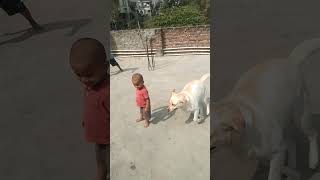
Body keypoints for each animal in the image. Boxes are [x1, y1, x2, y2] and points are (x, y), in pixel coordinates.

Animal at [210, 38, 320, 180]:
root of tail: (289, 61)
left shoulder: (277, 151)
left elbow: (274, 173)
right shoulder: (265, 156)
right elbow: (282, 166)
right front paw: (293, 173)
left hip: (301, 117)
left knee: (312, 133)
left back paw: (313, 159)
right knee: (292, 142)